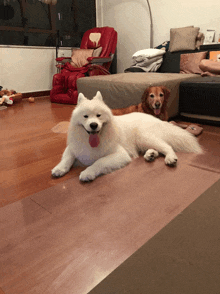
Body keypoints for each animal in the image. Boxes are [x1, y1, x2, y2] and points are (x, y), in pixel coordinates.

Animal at [51, 91, 203, 181]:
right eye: (85, 116)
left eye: (98, 116)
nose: (93, 125)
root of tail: (157, 119)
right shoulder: (74, 148)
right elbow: (67, 158)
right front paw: (59, 169)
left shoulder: (120, 155)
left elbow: (100, 162)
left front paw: (88, 172)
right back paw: (150, 155)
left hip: (144, 137)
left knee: (167, 146)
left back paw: (171, 158)